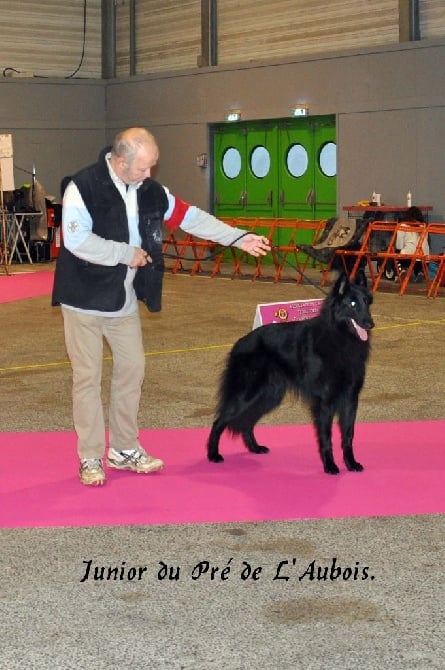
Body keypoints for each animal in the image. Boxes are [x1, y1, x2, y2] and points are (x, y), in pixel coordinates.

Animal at [206, 270, 372, 476]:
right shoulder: (325, 402)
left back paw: (254, 448)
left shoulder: (350, 399)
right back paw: (213, 455)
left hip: (268, 396)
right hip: (246, 395)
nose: (370, 324)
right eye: (352, 304)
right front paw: (330, 465)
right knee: (219, 422)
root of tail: (239, 344)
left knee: (247, 421)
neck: (338, 336)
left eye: (367, 301)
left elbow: (348, 435)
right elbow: (326, 437)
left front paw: (351, 463)